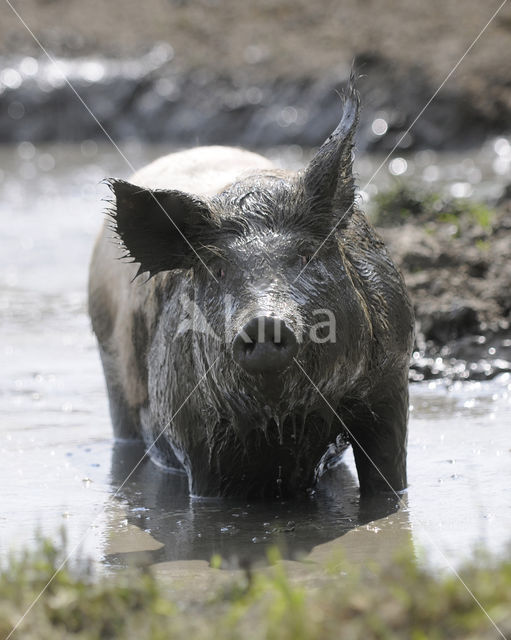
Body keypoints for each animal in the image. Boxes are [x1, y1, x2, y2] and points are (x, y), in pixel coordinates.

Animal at [88, 81, 416, 500]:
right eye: (217, 268)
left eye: (306, 254)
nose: (263, 322)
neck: (283, 422)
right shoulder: (192, 428)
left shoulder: (391, 383)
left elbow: (388, 476)